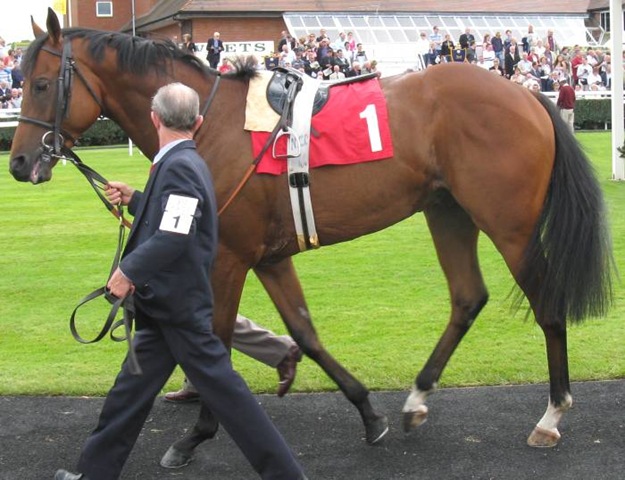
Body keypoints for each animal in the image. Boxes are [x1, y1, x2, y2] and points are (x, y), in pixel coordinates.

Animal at [10, 9, 614, 468]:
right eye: (20, 80)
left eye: (40, 84)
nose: (18, 164)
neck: (208, 122)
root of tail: (527, 95)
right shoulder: (269, 257)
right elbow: (305, 331)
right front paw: (367, 412)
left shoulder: (228, 257)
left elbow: (218, 341)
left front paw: (196, 434)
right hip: (448, 211)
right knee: (468, 297)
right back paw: (417, 397)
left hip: (508, 223)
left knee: (547, 302)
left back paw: (551, 414)